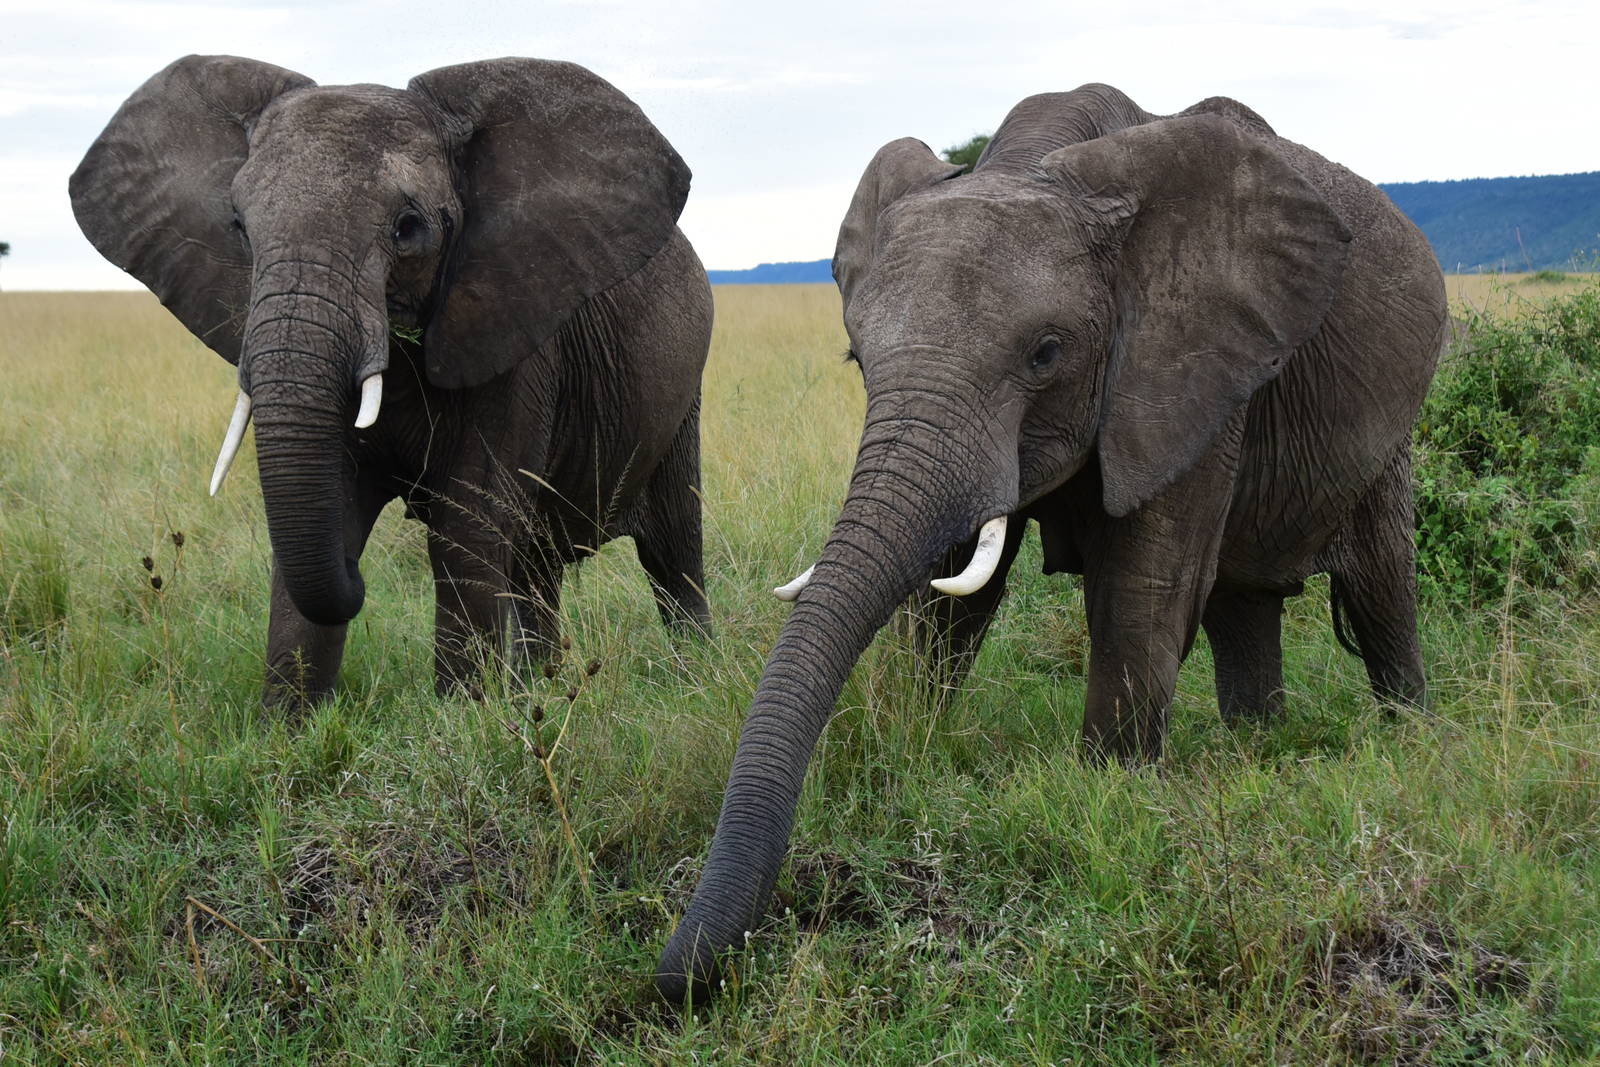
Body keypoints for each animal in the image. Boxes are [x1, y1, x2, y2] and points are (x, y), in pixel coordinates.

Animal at [70, 55, 713, 708]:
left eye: (408, 228)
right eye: (239, 226)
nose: (357, 585)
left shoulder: (515, 340)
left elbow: (466, 527)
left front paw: (466, 715)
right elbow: (339, 512)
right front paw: (289, 725)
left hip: (686, 394)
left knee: (672, 547)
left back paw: (695, 677)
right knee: (535, 564)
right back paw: (543, 687)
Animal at [657, 84, 1447, 1001]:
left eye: (1046, 353)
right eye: (855, 357)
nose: (672, 976)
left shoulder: (1185, 364)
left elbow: (1145, 588)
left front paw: (1109, 792)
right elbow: (953, 593)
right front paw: (920, 738)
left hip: (1391, 427)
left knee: (1379, 582)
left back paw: (1409, 734)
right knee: (1242, 603)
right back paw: (1258, 745)